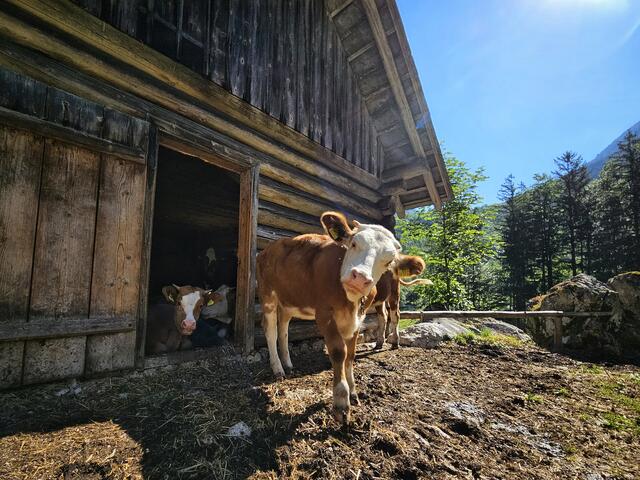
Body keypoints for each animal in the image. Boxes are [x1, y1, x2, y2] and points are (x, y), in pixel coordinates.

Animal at [257, 211, 402, 424]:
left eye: (389, 261)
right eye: (354, 243)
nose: (360, 278)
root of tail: (267, 248)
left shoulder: (358, 318)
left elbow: (351, 355)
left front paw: (353, 392)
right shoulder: (324, 314)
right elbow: (339, 352)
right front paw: (341, 401)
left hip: (288, 300)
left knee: (283, 328)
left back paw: (288, 363)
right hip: (268, 295)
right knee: (271, 331)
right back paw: (278, 368)